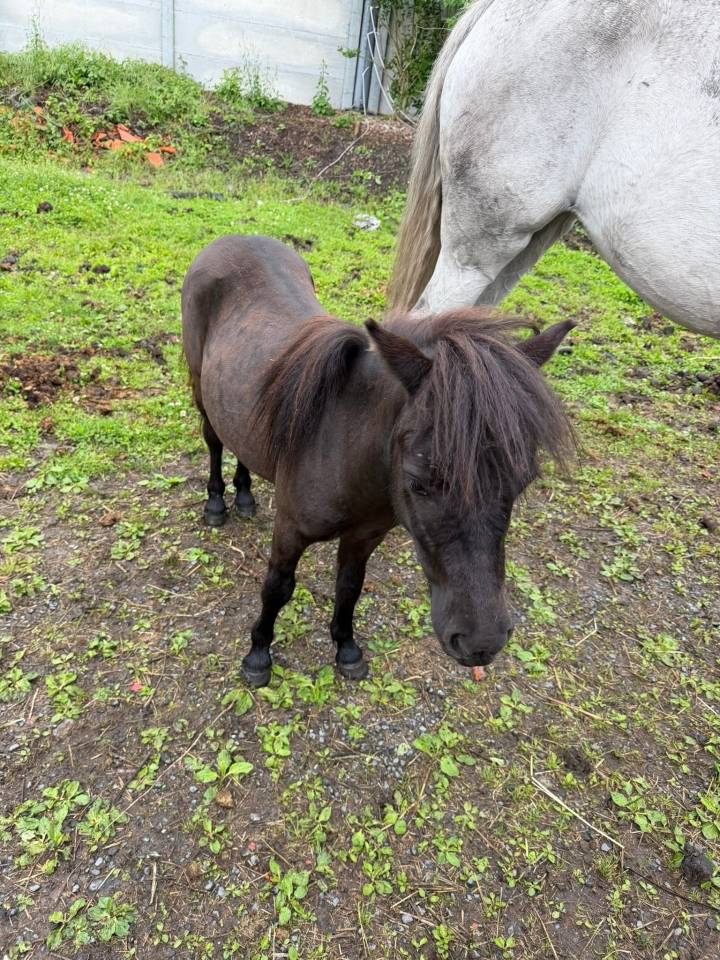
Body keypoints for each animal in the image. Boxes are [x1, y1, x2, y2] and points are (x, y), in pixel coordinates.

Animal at [182, 235, 574, 688]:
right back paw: (217, 503)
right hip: (200, 387)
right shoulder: (290, 531)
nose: (482, 642)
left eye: (522, 481)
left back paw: (244, 496)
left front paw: (347, 648)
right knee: (214, 441)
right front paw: (258, 655)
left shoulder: (365, 536)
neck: (346, 452)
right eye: (418, 481)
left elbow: (350, 587)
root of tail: (232, 241)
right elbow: (277, 587)